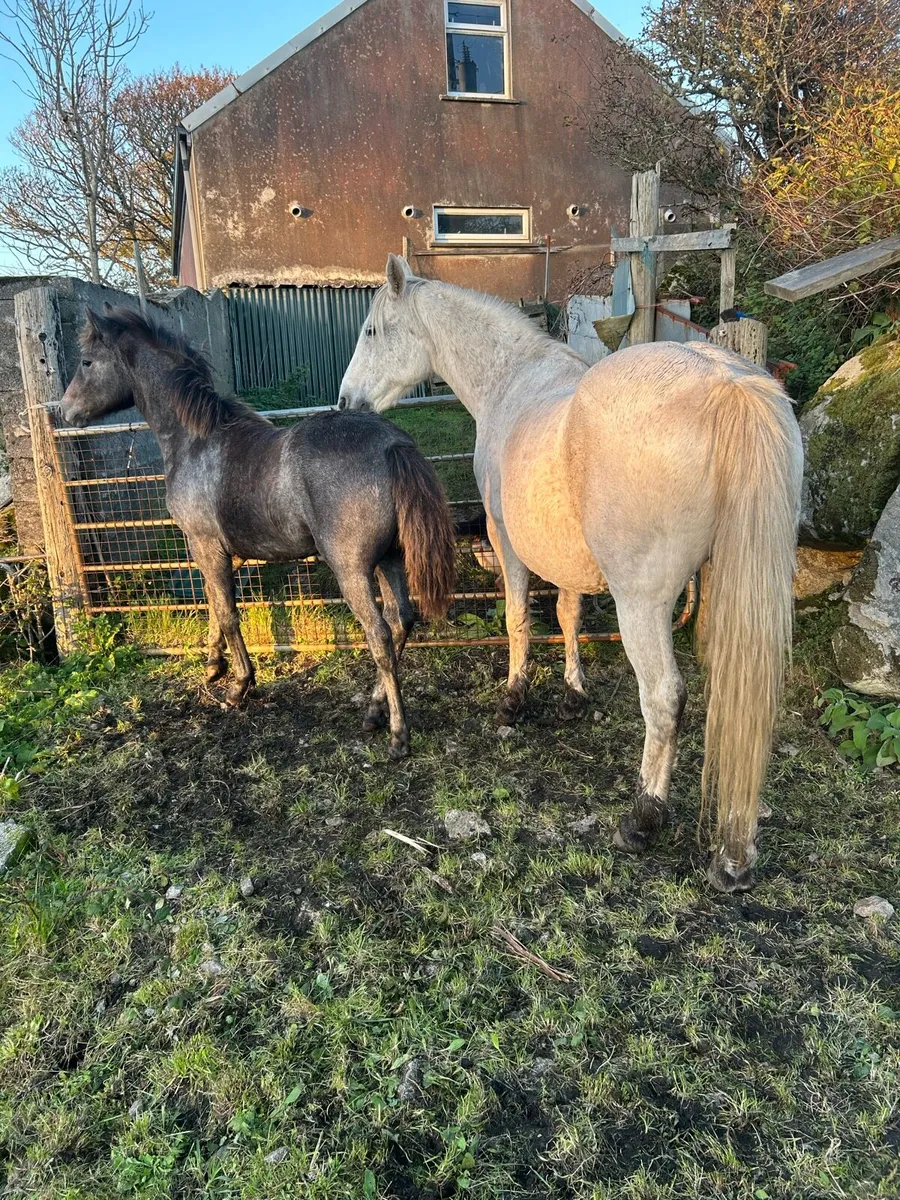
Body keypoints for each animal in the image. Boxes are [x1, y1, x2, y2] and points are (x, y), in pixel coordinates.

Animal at [61, 304, 455, 760]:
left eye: (86, 362)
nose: (66, 411)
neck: (196, 440)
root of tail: (392, 444)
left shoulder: (204, 544)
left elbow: (229, 613)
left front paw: (238, 685)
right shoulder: (221, 551)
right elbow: (214, 607)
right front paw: (213, 666)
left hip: (352, 570)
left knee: (380, 636)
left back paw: (396, 733)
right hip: (390, 559)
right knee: (402, 621)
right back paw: (374, 712)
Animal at [339, 256, 803, 891]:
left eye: (371, 331)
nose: (345, 401)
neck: (512, 378)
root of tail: (728, 384)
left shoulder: (507, 541)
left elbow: (518, 618)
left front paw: (515, 698)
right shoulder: (565, 556)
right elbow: (568, 614)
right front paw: (573, 694)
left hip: (642, 603)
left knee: (664, 698)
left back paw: (642, 818)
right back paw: (734, 855)